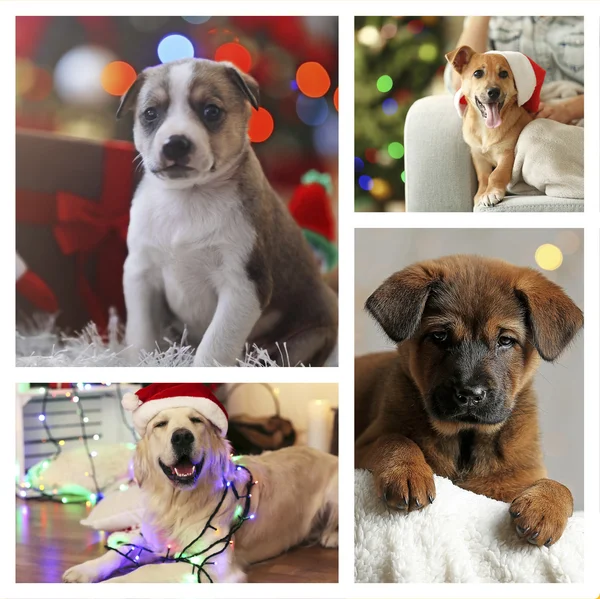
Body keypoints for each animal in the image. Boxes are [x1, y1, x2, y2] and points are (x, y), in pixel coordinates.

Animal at [67, 408, 338, 580]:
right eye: (160, 424)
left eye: (196, 420)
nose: (182, 436)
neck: (178, 502)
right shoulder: (155, 540)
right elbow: (119, 551)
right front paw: (84, 570)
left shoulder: (211, 563)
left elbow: (143, 573)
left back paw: (330, 536)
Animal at [354, 255, 584, 548]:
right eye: (439, 336)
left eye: (505, 340)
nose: (470, 395)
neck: (465, 440)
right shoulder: (363, 445)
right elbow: (395, 440)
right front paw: (406, 471)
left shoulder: (520, 476)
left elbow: (560, 486)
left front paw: (545, 508)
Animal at [446, 46, 536, 209]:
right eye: (477, 73)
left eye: (504, 74)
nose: (494, 92)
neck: (486, 128)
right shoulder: (478, 156)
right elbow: (483, 177)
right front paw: (481, 193)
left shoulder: (507, 154)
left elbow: (496, 174)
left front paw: (491, 193)